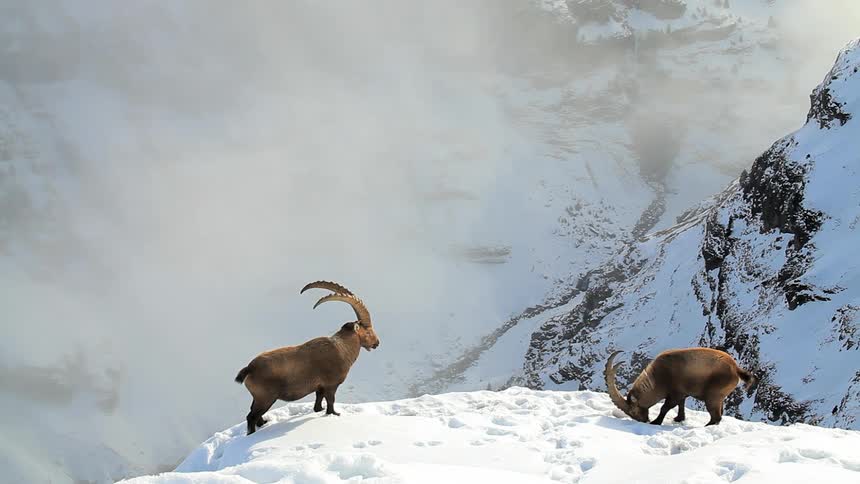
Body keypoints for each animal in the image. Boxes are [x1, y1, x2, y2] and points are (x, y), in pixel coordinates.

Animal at [234, 281, 380, 435]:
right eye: (368, 331)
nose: (377, 342)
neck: (342, 349)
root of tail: (250, 368)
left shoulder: (320, 386)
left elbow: (318, 402)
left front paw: (319, 410)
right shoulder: (331, 384)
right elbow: (331, 401)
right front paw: (334, 414)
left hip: (259, 398)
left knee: (255, 414)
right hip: (266, 398)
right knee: (251, 417)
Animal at [604, 347, 756, 426]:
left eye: (633, 411)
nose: (644, 421)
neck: (658, 378)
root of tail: (735, 369)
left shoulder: (675, 393)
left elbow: (665, 407)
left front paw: (656, 422)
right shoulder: (682, 393)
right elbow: (681, 405)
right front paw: (679, 418)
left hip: (713, 396)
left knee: (716, 417)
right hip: (719, 397)